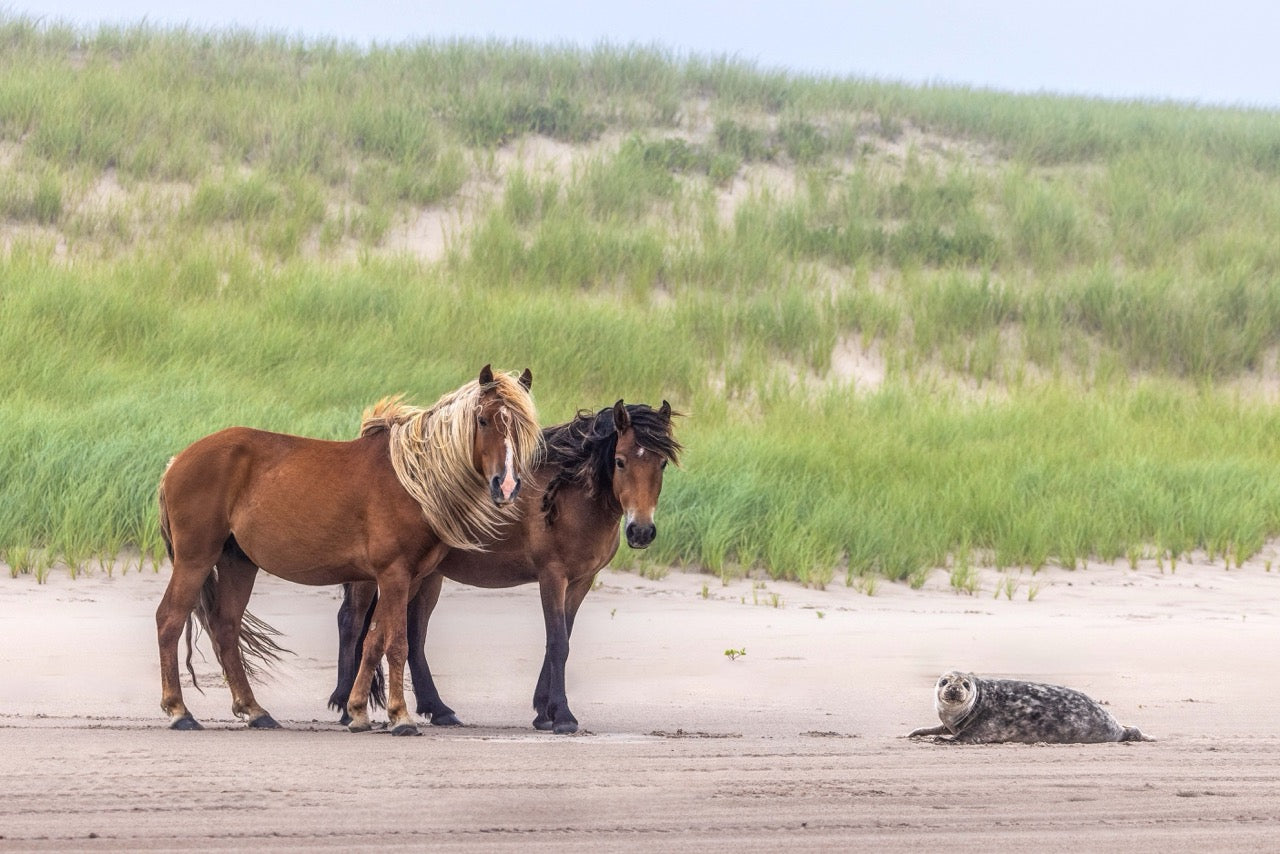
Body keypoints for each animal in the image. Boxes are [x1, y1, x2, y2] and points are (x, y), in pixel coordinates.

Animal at [154, 366, 540, 737]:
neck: (412, 482)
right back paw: (179, 711)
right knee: (169, 620)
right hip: (196, 559)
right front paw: (401, 716)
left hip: (239, 563)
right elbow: (397, 644)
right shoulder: (394, 574)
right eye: (483, 420)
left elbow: (374, 641)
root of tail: (177, 461)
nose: (506, 485)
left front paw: (357, 711)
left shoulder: (407, 579)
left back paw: (255, 710)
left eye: (524, 426)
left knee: (226, 628)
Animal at [330, 402, 686, 737]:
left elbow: (563, 638)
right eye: (621, 461)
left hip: (428, 575)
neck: (569, 495)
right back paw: (348, 707)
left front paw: (544, 711)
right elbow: (558, 642)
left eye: (662, 463)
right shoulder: (552, 576)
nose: (641, 531)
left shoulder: (581, 581)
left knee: (415, 636)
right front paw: (562, 716)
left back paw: (439, 709)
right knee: (352, 622)